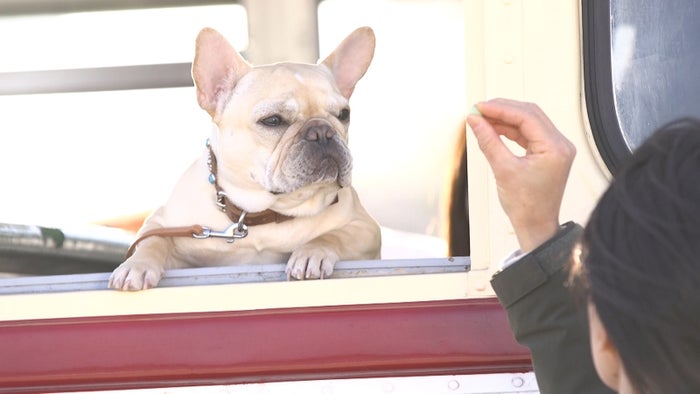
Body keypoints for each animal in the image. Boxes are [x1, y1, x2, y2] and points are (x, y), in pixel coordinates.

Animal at [108, 26, 382, 290]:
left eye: (344, 114)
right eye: (273, 120)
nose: (322, 132)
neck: (263, 213)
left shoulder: (366, 229)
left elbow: (333, 235)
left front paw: (311, 253)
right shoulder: (161, 223)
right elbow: (153, 241)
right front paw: (137, 265)